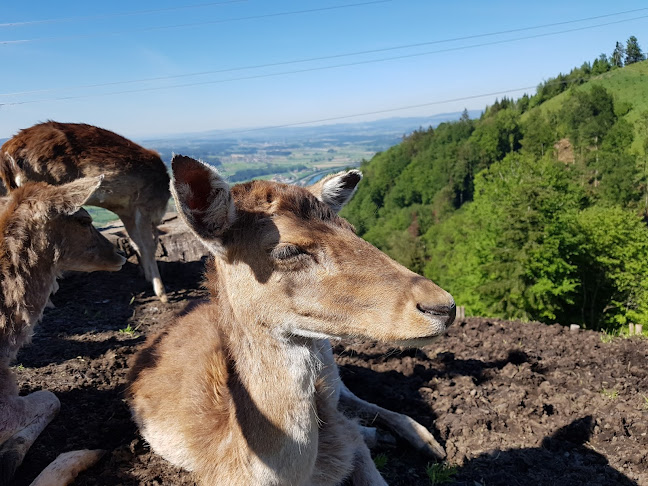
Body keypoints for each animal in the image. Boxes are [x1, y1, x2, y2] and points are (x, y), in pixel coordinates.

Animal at [0, 121, 172, 302]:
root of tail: (6, 155)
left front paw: (147, 277)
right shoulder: (144, 205)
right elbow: (148, 246)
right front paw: (162, 293)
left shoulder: (127, 211)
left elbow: (136, 243)